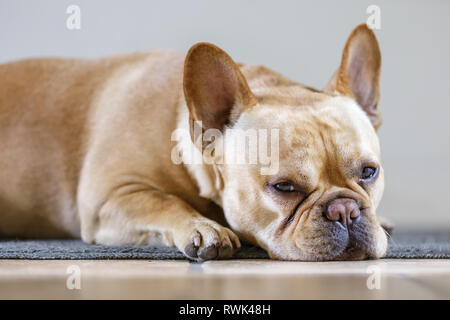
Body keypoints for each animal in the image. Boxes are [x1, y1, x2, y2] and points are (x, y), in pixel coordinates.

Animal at [0, 24, 386, 260]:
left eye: (369, 172)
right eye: (284, 187)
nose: (345, 210)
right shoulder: (108, 199)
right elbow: (163, 201)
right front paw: (204, 227)